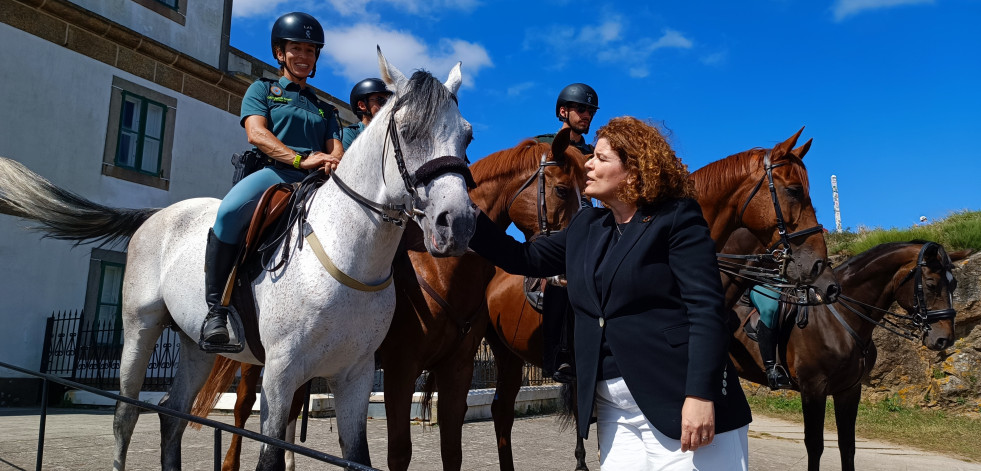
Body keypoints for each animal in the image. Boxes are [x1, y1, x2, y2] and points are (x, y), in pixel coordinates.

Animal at [0, 49, 474, 470]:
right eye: (408, 131)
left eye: (467, 136)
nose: (458, 224)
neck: (349, 255)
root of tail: (159, 215)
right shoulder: (281, 373)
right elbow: (270, 458)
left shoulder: (355, 374)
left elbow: (357, 458)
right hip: (139, 329)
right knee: (126, 413)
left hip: (195, 345)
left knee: (172, 412)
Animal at [193, 129, 588, 471]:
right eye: (562, 190)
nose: (572, 257)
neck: (438, 268)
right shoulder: (401, 366)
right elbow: (399, 452)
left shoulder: (457, 367)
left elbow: (452, 451)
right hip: (262, 357)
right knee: (245, 407)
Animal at [724, 232, 968, 471]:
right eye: (931, 284)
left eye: (954, 284)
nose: (944, 339)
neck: (838, 318)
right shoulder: (813, 388)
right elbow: (815, 445)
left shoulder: (849, 390)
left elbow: (847, 445)